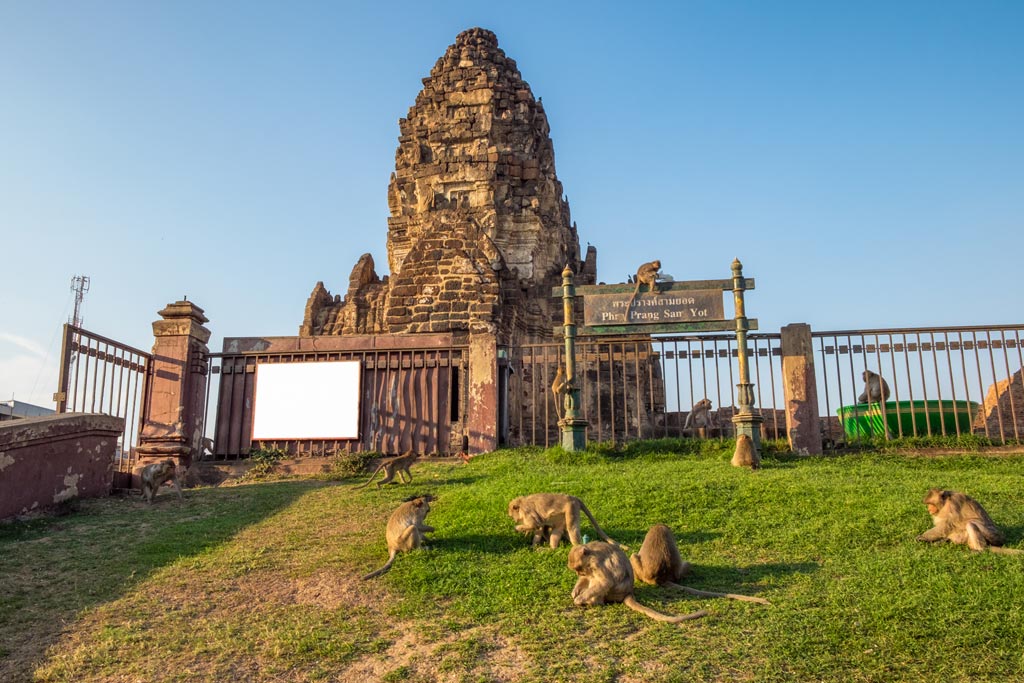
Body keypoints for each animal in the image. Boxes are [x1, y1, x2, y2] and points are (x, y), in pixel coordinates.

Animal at [568, 541, 709, 624]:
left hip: (613, 593)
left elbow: (605, 581)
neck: (591, 552)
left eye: (578, 569)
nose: (579, 574)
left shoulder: (595, 562)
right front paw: (575, 591)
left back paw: (594, 602)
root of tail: (628, 591)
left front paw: (579, 599)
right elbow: (588, 578)